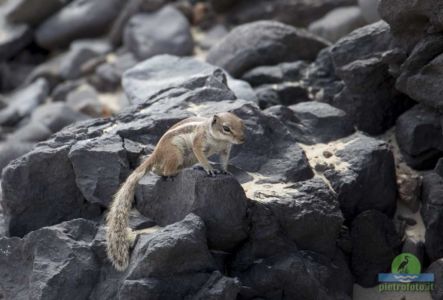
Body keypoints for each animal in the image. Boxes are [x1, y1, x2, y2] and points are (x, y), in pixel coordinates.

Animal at [106, 111, 248, 270]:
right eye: (226, 128)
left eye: (242, 124)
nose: (242, 139)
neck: (219, 140)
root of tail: (155, 153)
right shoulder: (198, 143)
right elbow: (202, 157)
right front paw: (209, 169)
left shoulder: (225, 149)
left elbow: (224, 161)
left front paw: (225, 171)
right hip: (175, 153)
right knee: (166, 170)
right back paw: (179, 172)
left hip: (186, 158)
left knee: (158, 170)